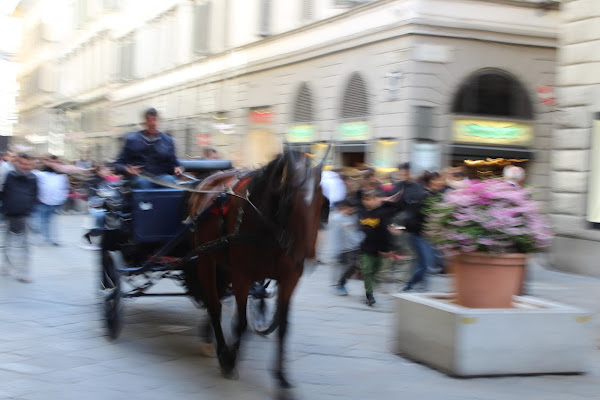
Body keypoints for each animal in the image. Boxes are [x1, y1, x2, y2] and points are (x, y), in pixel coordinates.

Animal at [189, 150, 326, 388]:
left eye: (321, 201)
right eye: (290, 200)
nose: (306, 257)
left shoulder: (289, 279)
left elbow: (283, 327)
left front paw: (281, 378)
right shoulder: (242, 277)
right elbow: (241, 323)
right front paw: (230, 361)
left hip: (224, 265)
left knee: (215, 299)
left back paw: (209, 338)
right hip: (205, 258)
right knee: (214, 305)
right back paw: (221, 350)